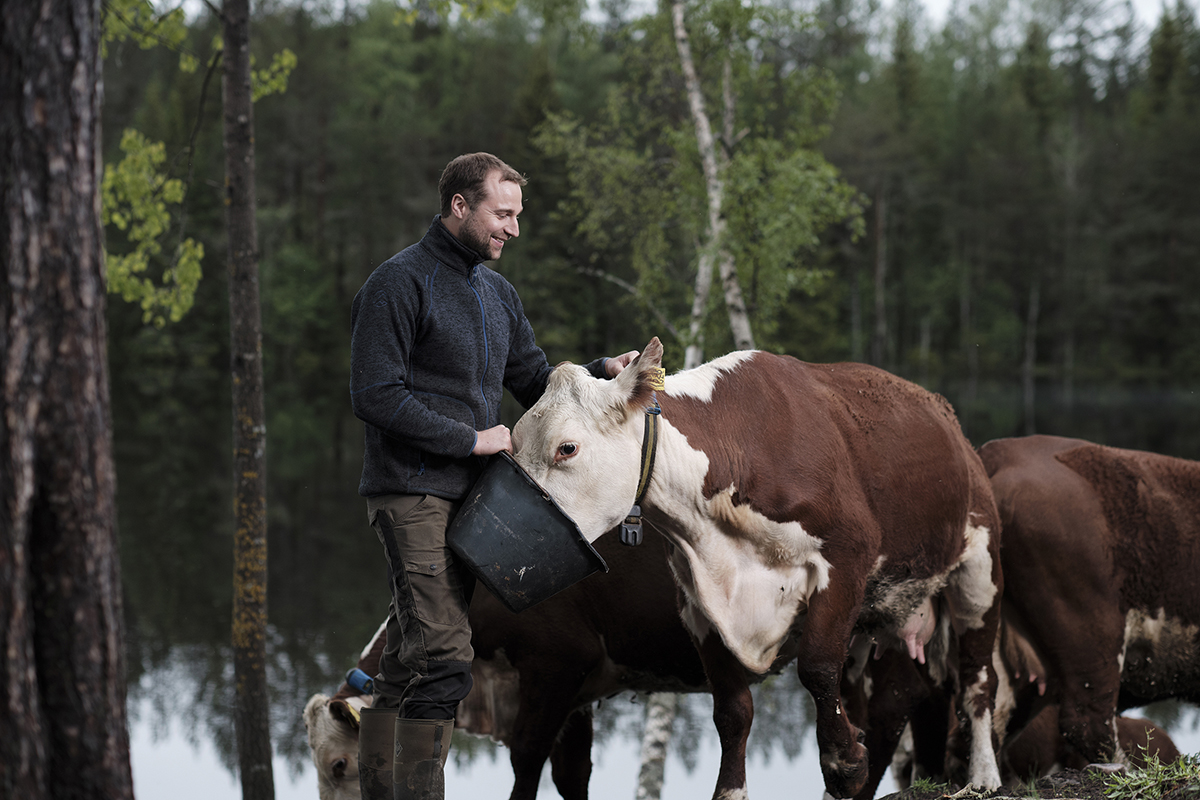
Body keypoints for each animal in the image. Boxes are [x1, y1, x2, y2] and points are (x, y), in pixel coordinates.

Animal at [511, 340, 1008, 800]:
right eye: (514, 445)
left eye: (567, 448)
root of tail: (944, 415)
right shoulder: (698, 599)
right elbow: (732, 710)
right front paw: (732, 791)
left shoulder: (847, 558)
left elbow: (817, 666)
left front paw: (845, 766)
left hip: (980, 571)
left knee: (978, 679)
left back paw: (984, 776)